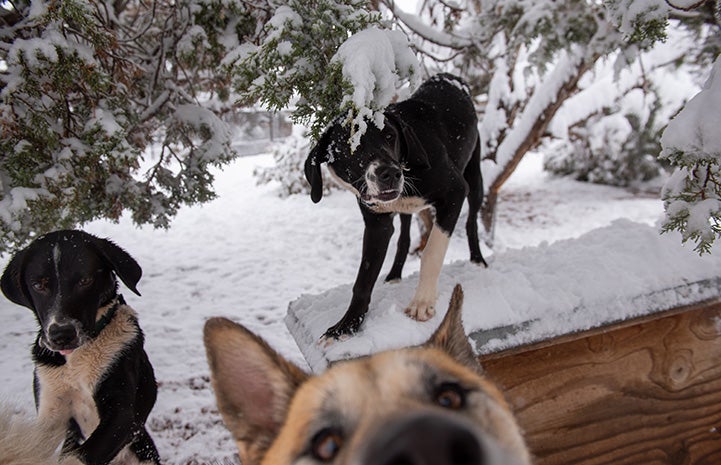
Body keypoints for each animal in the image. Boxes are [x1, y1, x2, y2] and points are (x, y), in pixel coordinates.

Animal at [0, 231, 160, 464]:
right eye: (39, 285)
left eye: (85, 280)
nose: (61, 335)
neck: (75, 360)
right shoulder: (52, 413)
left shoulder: (123, 414)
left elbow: (81, 455)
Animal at [300, 73, 486, 340]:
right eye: (351, 144)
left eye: (390, 136)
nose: (390, 173)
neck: (408, 164)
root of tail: (448, 77)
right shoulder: (377, 223)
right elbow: (364, 278)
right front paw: (346, 325)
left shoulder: (455, 192)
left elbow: (432, 251)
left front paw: (422, 302)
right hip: (406, 210)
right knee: (404, 236)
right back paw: (394, 274)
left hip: (475, 180)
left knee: (471, 221)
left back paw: (478, 259)